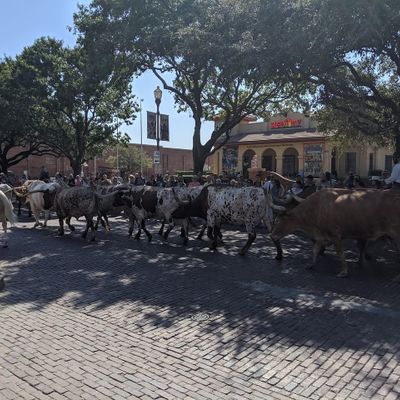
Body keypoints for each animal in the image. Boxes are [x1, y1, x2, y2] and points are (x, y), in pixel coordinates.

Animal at [270, 188, 400, 277]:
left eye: (277, 220)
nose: (271, 235)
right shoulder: (321, 235)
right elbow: (315, 250)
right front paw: (311, 265)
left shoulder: (335, 234)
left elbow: (340, 253)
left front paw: (344, 271)